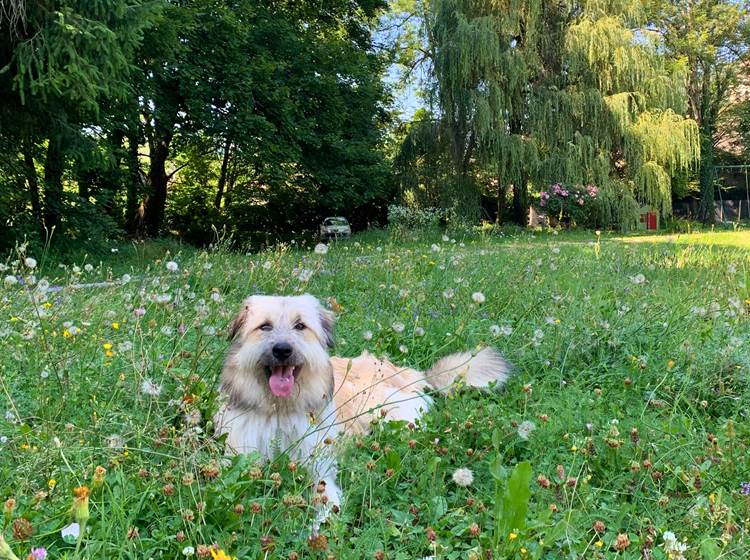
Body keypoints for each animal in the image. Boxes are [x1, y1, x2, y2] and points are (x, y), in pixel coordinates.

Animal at [214, 296, 516, 524]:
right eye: (264, 327)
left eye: (300, 326)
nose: (282, 350)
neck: (279, 411)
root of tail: (412, 373)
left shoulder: (319, 468)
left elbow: (326, 499)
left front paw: (319, 529)